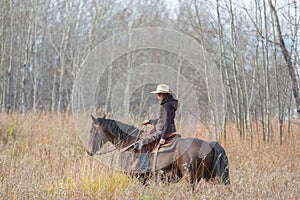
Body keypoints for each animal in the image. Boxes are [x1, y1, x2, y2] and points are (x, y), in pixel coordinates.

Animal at [85, 115, 231, 186]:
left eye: (92, 130)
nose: (88, 151)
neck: (130, 143)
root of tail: (210, 144)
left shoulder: (139, 178)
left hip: (191, 178)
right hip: (211, 177)